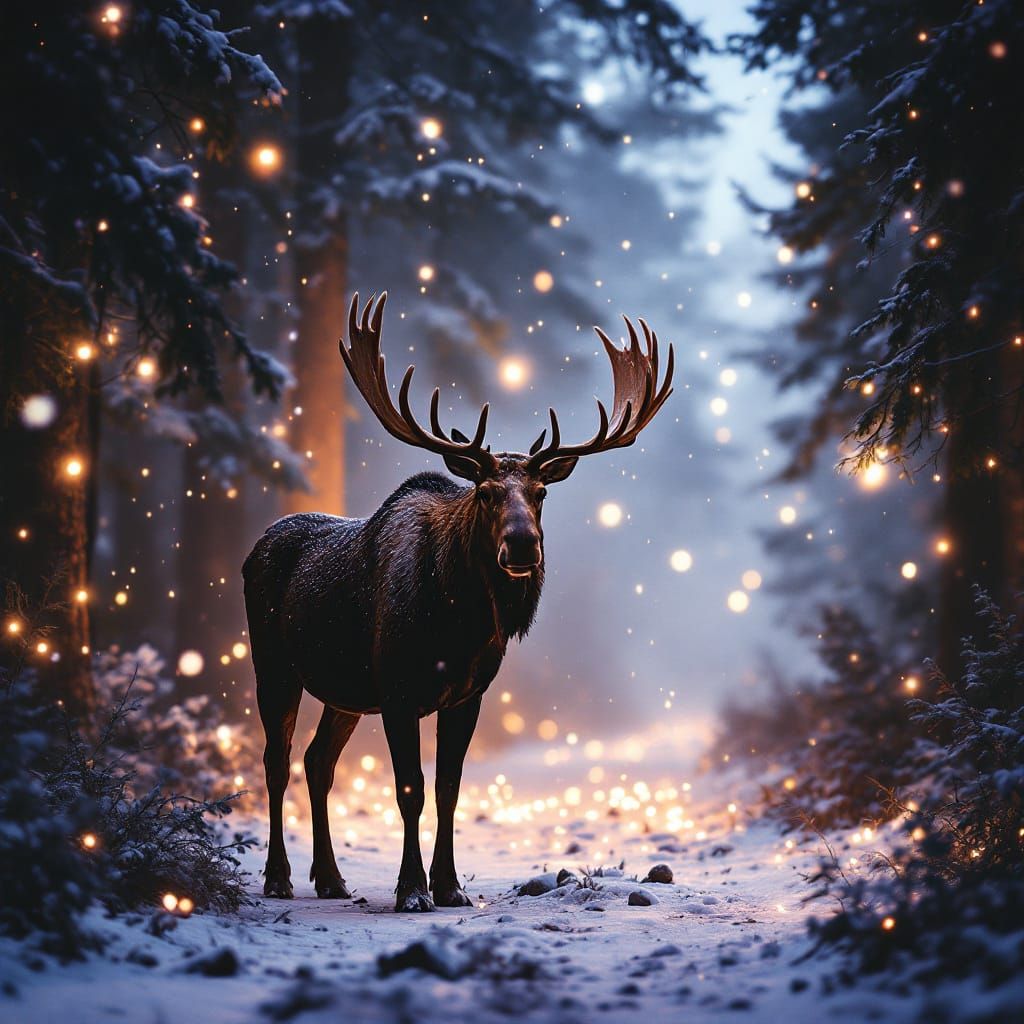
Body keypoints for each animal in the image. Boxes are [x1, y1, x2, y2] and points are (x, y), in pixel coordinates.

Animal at [243, 291, 673, 912]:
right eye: (486, 491)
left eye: (541, 494)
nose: (522, 544)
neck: (458, 625)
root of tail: (253, 550)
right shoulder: (398, 690)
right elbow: (410, 789)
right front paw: (412, 891)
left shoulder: (467, 694)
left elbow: (449, 788)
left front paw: (448, 887)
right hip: (273, 663)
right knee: (276, 761)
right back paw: (278, 876)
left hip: (344, 690)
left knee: (317, 761)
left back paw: (330, 878)